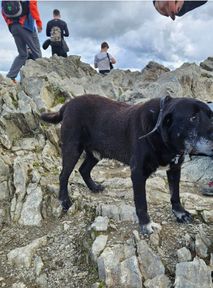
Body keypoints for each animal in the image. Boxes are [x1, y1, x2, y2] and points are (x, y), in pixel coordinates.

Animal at [41, 94, 213, 234]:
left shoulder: (175, 169)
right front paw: (146, 225)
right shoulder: (138, 173)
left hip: (96, 153)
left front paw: (180, 213)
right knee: (63, 175)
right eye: (193, 118)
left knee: (83, 169)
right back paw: (64, 200)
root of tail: (68, 104)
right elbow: (142, 203)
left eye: (211, 115)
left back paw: (94, 187)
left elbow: (175, 195)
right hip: (72, 149)